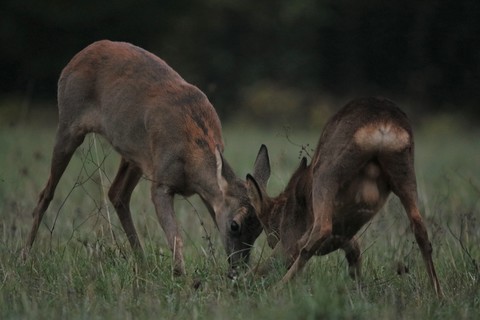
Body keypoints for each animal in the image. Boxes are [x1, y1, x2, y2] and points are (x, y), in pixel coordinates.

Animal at [23, 39, 270, 276]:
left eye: (260, 229)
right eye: (235, 225)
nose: (238, 270)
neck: (192, 156)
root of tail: (78, 55)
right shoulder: (161, 181)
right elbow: (175, 235)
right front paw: (180, 274)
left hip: (135, 153)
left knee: (117, 193)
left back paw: (142, 262)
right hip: (68, 122)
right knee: (46, 193)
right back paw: (25, 256)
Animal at [248, 97, 442, 298]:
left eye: (264, 225)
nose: (271, 242)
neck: (283, 212)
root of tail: (383, 124)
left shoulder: (289, 241)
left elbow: (264, 266)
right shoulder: (348, 238)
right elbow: (355, 260)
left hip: (328, 171)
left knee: (320, 230)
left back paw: (276, 288)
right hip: (405, 172)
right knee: (421, 230)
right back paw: (439, 295)